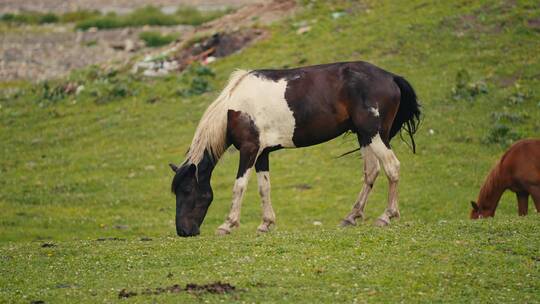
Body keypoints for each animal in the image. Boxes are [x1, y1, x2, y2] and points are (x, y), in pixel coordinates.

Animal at [171, 61, 420, 238]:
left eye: (187, 191)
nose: (183, 232)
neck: (234, 108)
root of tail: (391, 77)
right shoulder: (262, 153)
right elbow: (264, 188)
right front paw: (265, 224)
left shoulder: (249, 150)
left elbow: (239, 186)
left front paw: (228, 224)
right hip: (365, 136)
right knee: (371, 172)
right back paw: (351, 217)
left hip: (374, 135)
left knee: (392, 167)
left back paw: (386, 216)